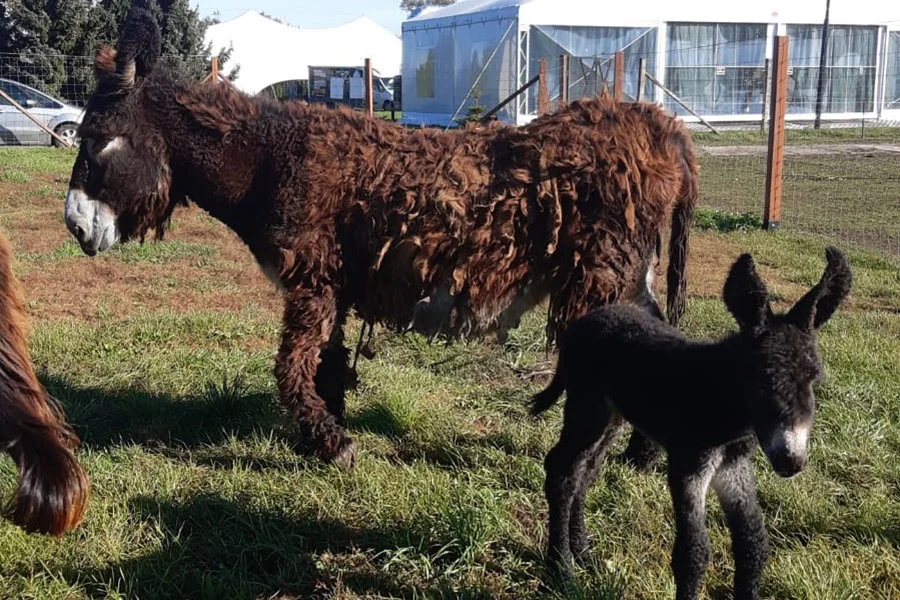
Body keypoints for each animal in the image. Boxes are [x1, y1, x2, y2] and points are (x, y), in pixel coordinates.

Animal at [532, 246, 856, 596]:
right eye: (760, 380)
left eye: (814, 380)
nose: (791, 461)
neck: (722, 401)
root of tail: (585, 321)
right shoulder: (688, 465)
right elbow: (693, 553)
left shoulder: (733, 465)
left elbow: (753, 544)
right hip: (586, 409)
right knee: (561, 471)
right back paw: (560, 566)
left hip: (611, 418)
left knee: (585, 472)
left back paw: (582, 552)